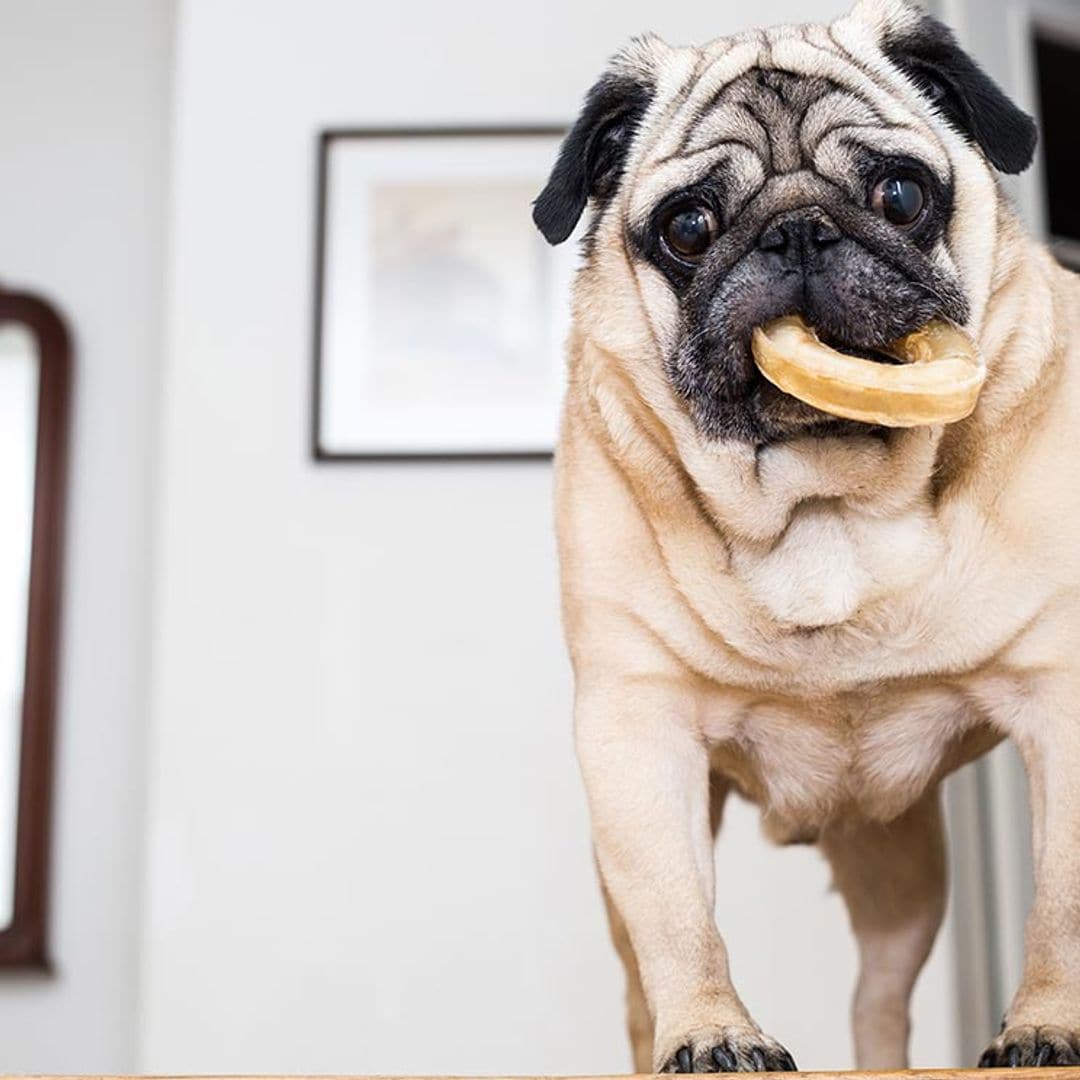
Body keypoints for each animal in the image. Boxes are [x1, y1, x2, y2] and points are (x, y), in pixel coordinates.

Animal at [533, 0, 1080, 1071]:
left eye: (901, 195)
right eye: (689, 227)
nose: (796, 230)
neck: (823, 502)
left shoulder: (1063, 706)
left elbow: (1059, 904)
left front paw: (1049, 1023)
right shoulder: (636, 732)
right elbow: (679, 923)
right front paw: (710, 1032)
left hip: (899, 866)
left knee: (880, 995)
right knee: (641, 977)